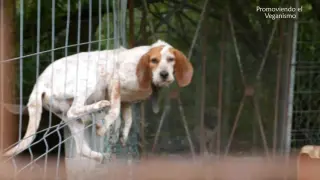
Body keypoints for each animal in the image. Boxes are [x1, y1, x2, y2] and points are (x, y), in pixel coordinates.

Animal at [3, 40, 192, 162]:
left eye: (171, 60)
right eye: (154, 60)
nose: (164, 74)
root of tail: (39, 83)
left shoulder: (126, 102)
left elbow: (127, 120)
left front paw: (121, 135)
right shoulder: (115, 83)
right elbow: (115, 112)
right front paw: (104, 127)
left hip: (71, 119)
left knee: (82, 147)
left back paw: (101, 155)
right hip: (88, 79)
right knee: (76, 109)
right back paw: (99, 107)